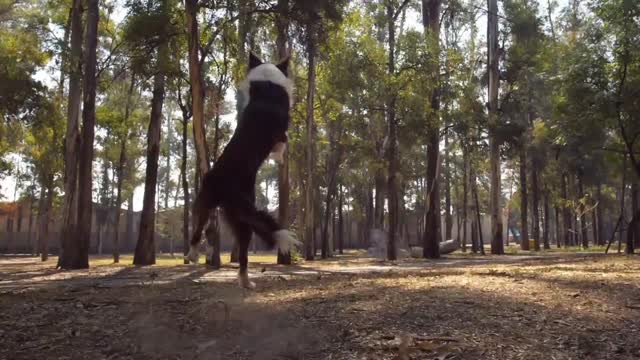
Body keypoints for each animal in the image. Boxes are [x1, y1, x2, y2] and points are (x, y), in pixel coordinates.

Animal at [184, 53, 296, 288]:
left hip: (215, 208)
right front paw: (279, 158)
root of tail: (229, 189)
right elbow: (282, 146)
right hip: (223, 209)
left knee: (206, 234)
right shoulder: (282, 134)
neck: (267, 84)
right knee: (210, 238)